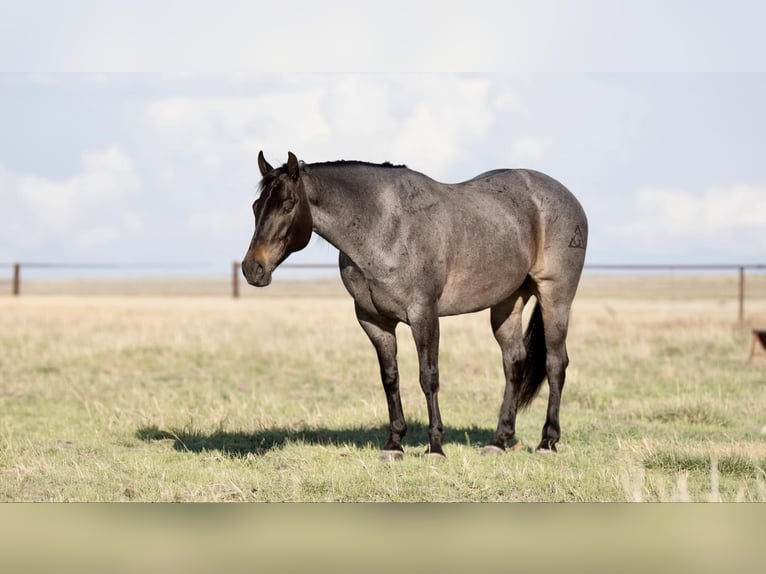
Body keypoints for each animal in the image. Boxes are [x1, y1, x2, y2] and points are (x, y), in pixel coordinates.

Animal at [243, 151, 592, 462]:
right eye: (256, 206)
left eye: (287, 206)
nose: (252, 268)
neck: (384, 226)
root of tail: (566, 197)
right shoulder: (374, 321)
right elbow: (390, 378)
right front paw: (394, 444)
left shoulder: (424, 315)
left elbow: (428, 376)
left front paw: (435, 447)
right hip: (507, 303)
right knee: (514, 363)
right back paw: (498, 441)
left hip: (556, 296)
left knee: (555, 363)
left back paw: (547, 442)